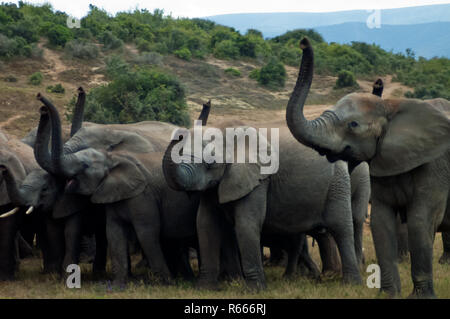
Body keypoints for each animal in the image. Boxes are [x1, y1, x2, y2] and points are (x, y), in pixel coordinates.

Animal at [162, 116, 362, 292]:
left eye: (210, 162)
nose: (178, 134)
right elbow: (206, 225)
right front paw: (204, 289)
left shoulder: (259, 178)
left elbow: (246, 225)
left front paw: (253, 291)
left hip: (337, 183)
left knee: (341, 228)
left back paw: (350, 284)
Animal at [284, 38, 450, 300]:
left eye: (353, 124)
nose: (303, 42)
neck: (390, 107)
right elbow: (382, 224)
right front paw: (387, 295)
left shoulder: (435, 164)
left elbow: (420, 221)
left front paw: (420, 298)